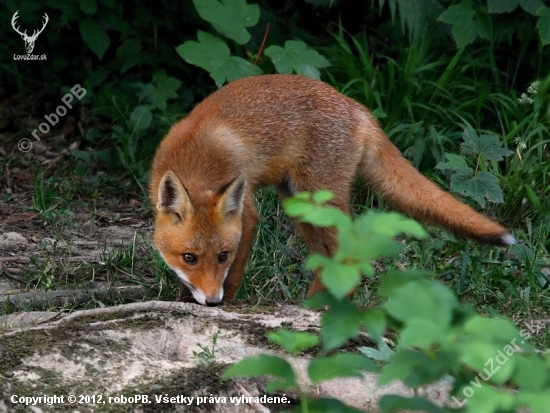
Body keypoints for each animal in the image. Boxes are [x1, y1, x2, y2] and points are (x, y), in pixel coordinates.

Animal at [149, 75, 516, 306]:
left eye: (223, 255)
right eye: (189, 257)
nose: (213, 301)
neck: (197, 161)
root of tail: (357, 107)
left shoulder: (247, 214)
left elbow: (235, 272)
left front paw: (226, 305)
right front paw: (187, 300)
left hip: (317, 202)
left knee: (349, 254)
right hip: (300, 206)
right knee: (326, 262)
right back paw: (312, 306)